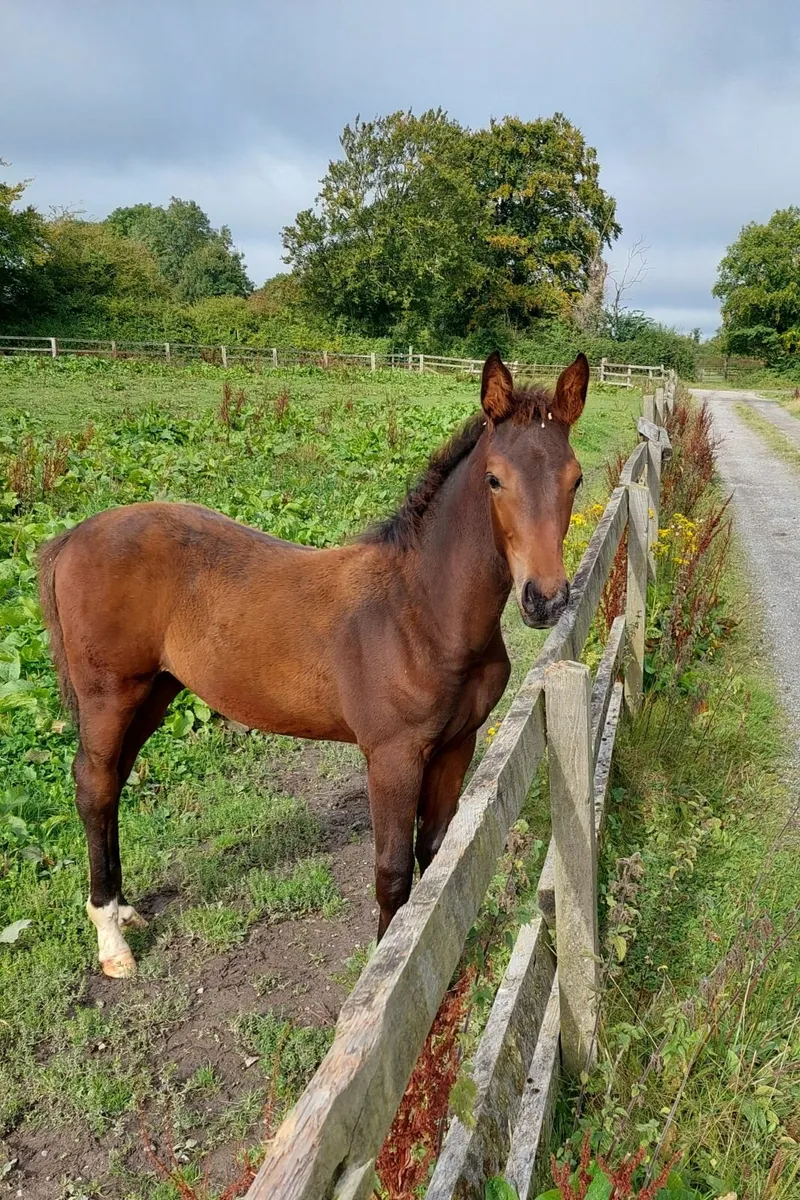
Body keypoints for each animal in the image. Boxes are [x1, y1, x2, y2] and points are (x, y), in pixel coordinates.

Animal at [38, 351, 589, 978]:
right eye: (495, 478)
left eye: (575, 479)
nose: (544, 599)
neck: (422, 611)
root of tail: (71, 537)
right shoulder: (392, 756)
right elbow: (393, 873)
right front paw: (386, 973)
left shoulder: (456, 743)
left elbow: (437, 859)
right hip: (109, 694)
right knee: (94, 784)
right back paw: (112, 940)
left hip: (155, 691)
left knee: (115, 779)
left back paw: (125, 910)